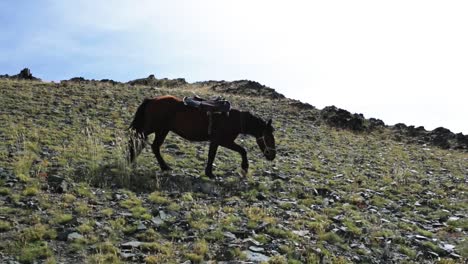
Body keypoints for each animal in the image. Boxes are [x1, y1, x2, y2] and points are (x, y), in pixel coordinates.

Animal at [128, 95, 276, 177]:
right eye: (268, 137)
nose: (272, 156)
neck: (234, 119)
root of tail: (152, 100)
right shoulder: (222, 141)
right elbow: (237, 151)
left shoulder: (221, 141)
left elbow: (222, 153)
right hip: (152, 128)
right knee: (136, 140)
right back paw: (131, 159)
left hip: (162, 130)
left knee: (154, 146)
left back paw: (164, 167)